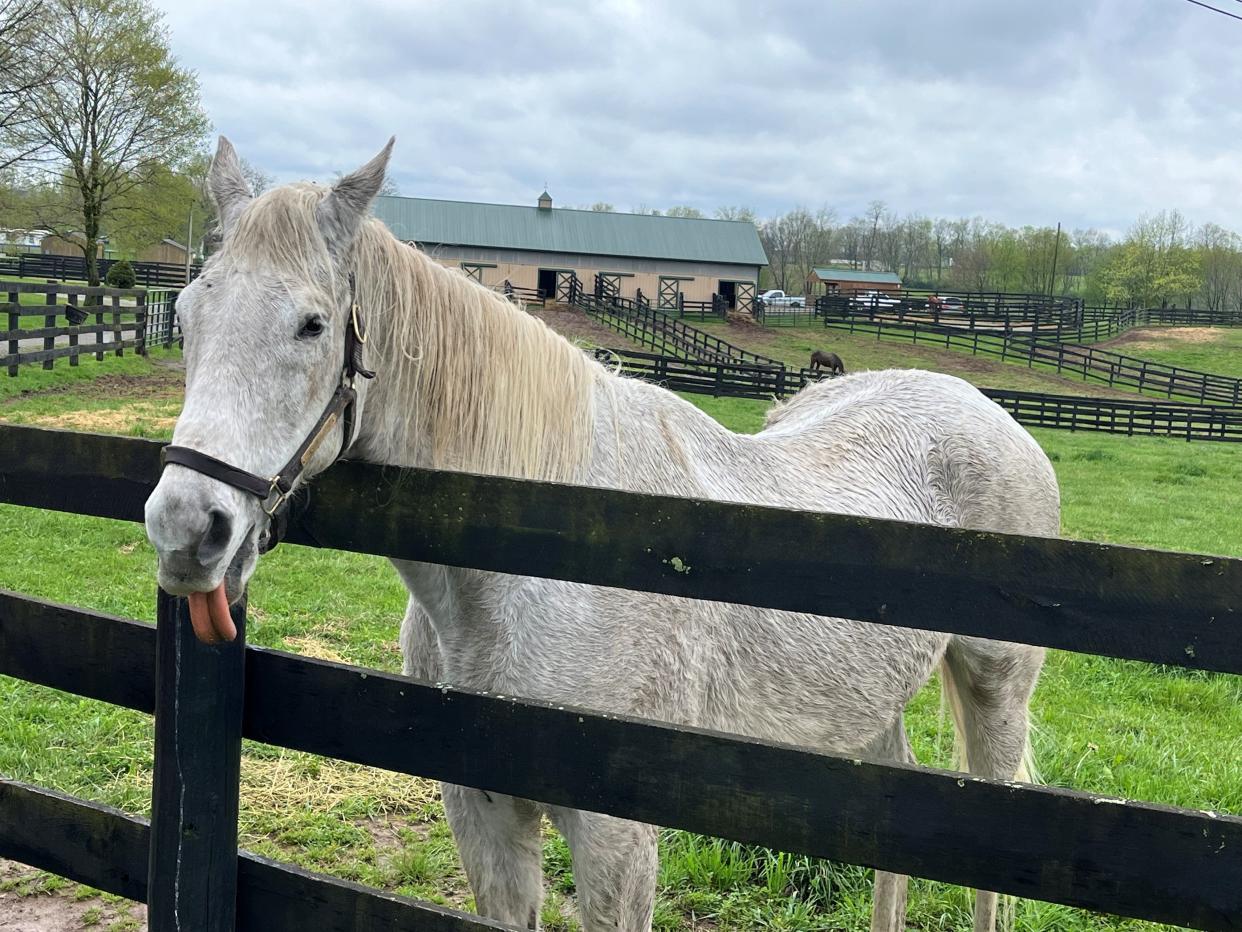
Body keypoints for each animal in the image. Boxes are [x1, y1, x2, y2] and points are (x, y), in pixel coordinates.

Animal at [142, 140, 1058, 932]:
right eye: (184, 314)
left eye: (312, 325)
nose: (187, 528)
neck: (536, 572)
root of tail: (984, 409)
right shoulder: (482, 814)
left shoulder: (615, 834)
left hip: (996, 693)